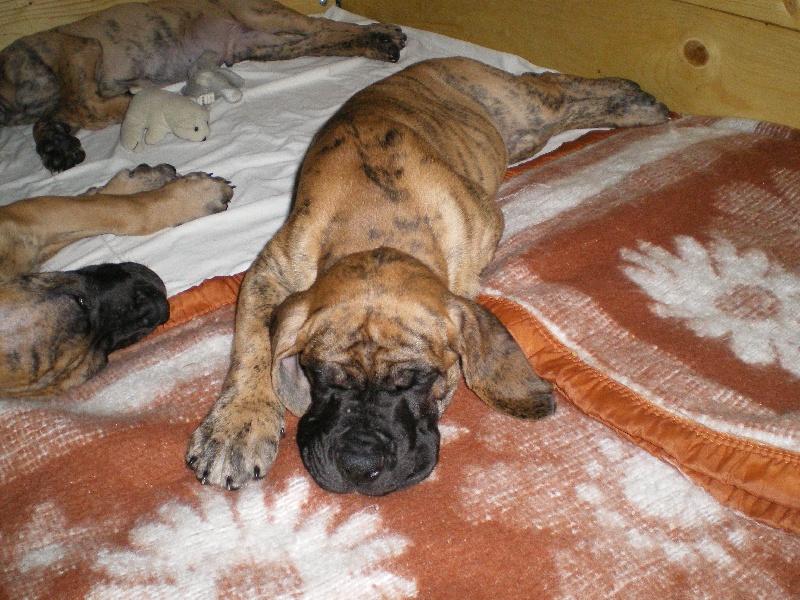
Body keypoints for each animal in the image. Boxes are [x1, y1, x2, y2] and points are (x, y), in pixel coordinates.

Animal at [0, 0, 406, 172]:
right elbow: (52, 118)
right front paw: (56, 149)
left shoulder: (77, 49)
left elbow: (84, 104)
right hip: (263, 45)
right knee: (324, 38)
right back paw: (379, 43)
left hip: (265, 15)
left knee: (326, 26)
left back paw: (384, 33)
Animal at [186, 57, 670, 495]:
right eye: (321, 377)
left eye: (416, 381)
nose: (359, 466)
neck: (375, 222)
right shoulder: (269, 270)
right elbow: (253, 343)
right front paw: (236, 425)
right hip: (523, 134)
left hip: (523, 106)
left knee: (556, 84)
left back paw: (639, 103)